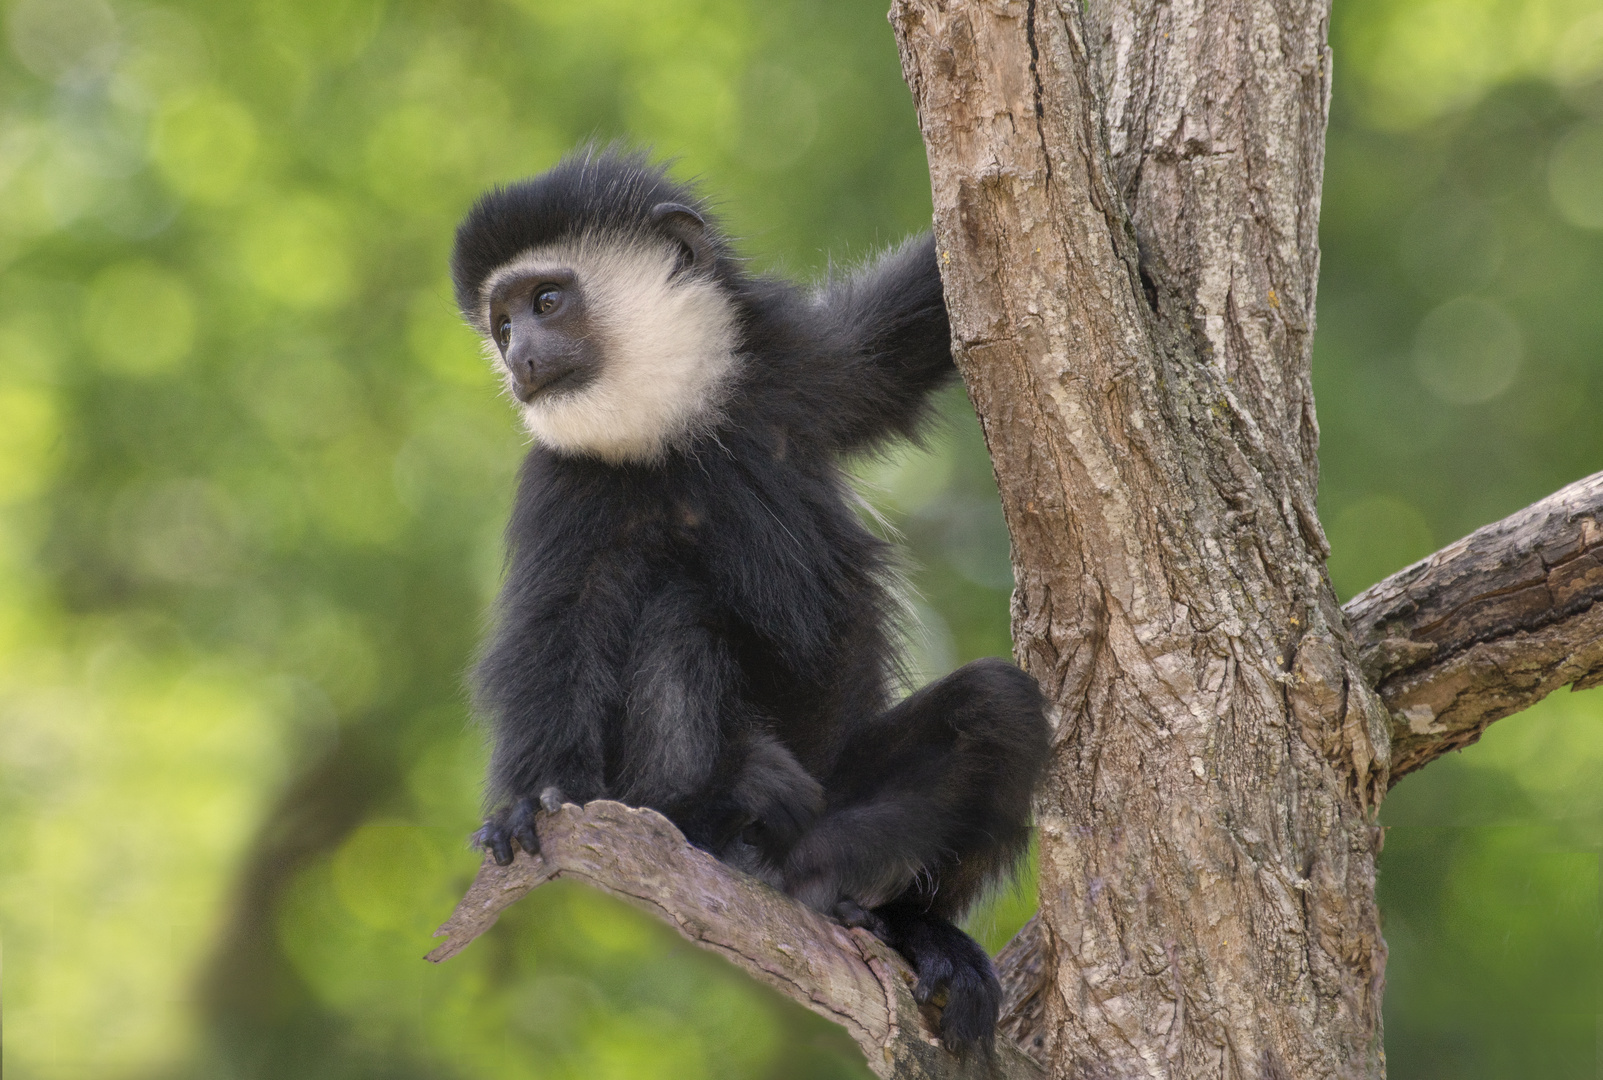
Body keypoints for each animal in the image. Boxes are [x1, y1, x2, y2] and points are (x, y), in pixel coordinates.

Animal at [452, 147, 1051, 1044]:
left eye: (545, 301)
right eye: (502, 322)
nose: (519, 355)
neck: (677, 422)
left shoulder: (800, 369)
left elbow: (905, 335)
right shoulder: (567, 483)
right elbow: (558, 630)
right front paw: (527, 805)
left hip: (844, 802)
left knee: (995, 710)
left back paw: (910, 930)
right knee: (680, 620)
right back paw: (712, 827)